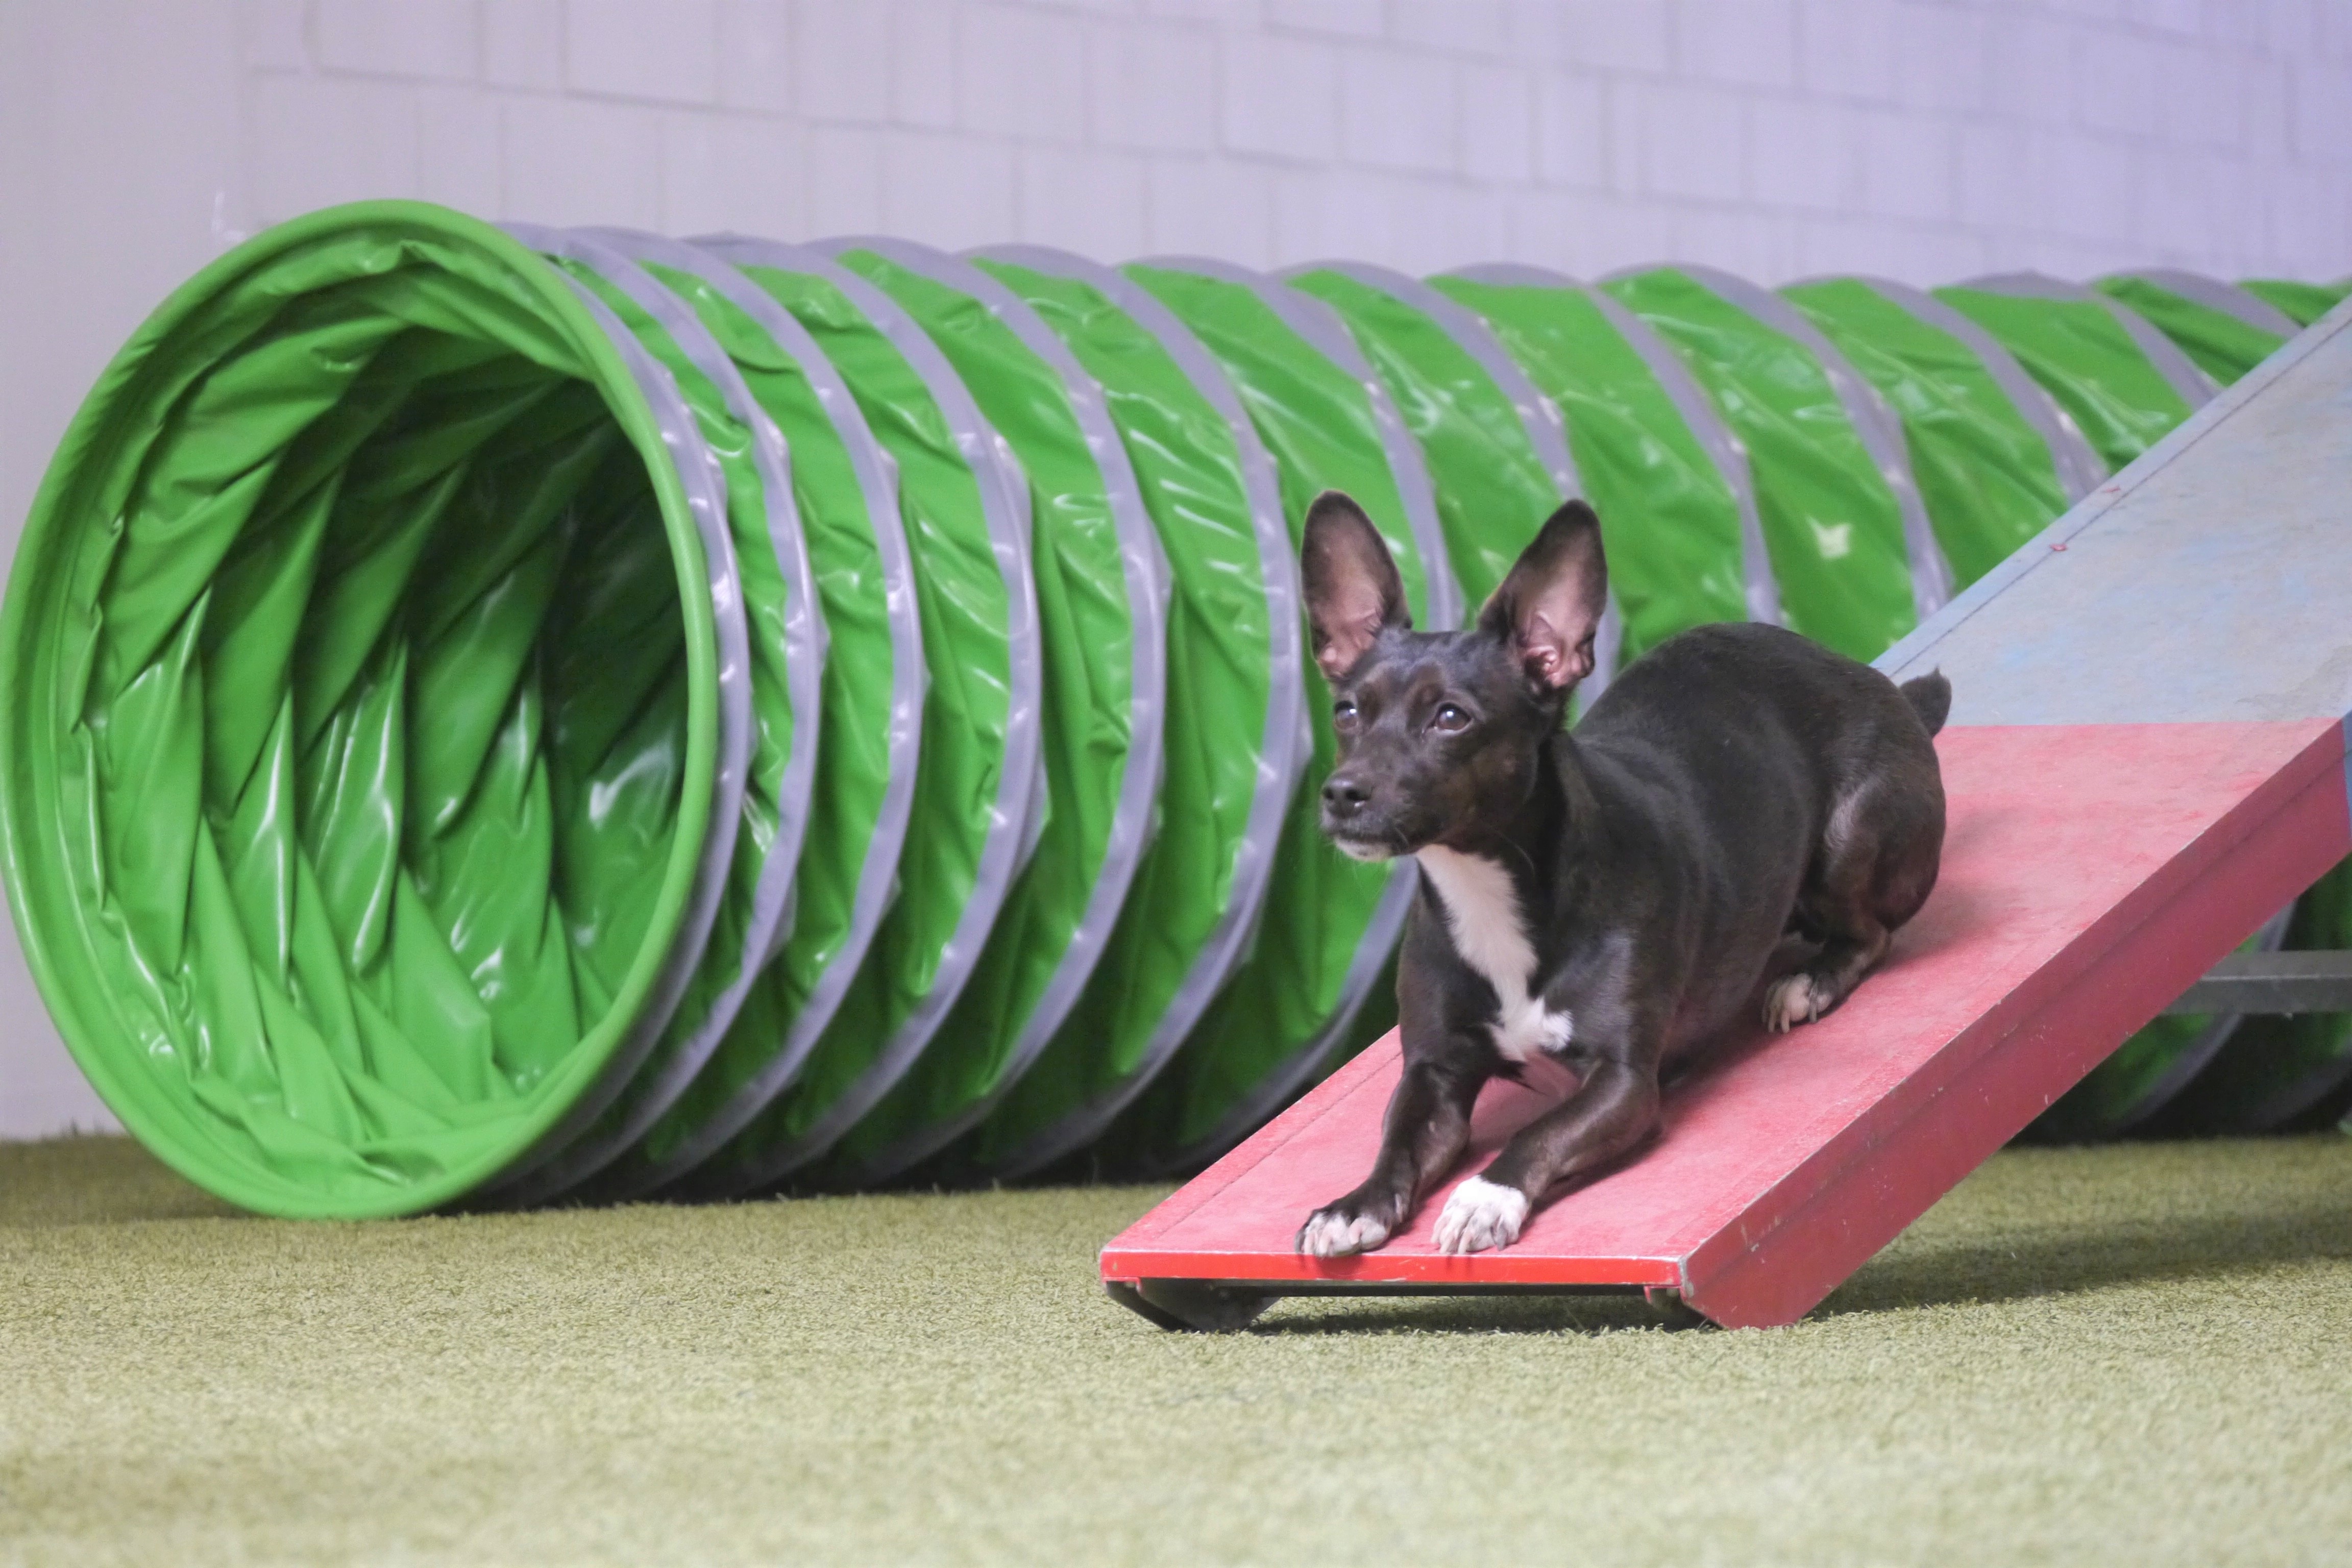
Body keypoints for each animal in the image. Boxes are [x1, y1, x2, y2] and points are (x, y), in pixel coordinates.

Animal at [1289, 496, 1947, 1260]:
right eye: (1347, 711)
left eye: (1451, 718)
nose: (1342, 793)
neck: (1491, 893)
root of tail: (1880, 685)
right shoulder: (1434, 1071)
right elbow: (1397, 1140)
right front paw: (1354, 1205)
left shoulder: (1626, 1083)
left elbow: (1537, 1131)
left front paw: (1487, 1195)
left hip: (1847, 842)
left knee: (1872, 934)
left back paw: (1809, 983)